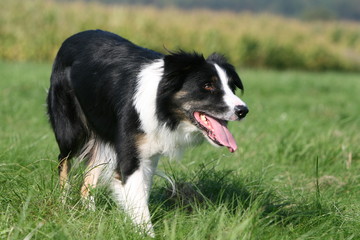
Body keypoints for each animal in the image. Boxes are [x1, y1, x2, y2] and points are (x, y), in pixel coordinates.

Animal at [46, 30, 249, 236]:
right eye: (208, 86)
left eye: (231, 87)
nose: (243, 111)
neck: (162, 107)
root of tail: (72, 37)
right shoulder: (130, 156)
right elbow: (138, 202)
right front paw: (146, 233)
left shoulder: (150, 156)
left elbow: (141, 195)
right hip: (70, 129)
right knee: (64, 161)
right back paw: (63, 204)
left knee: (89, 177)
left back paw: (90, 216)